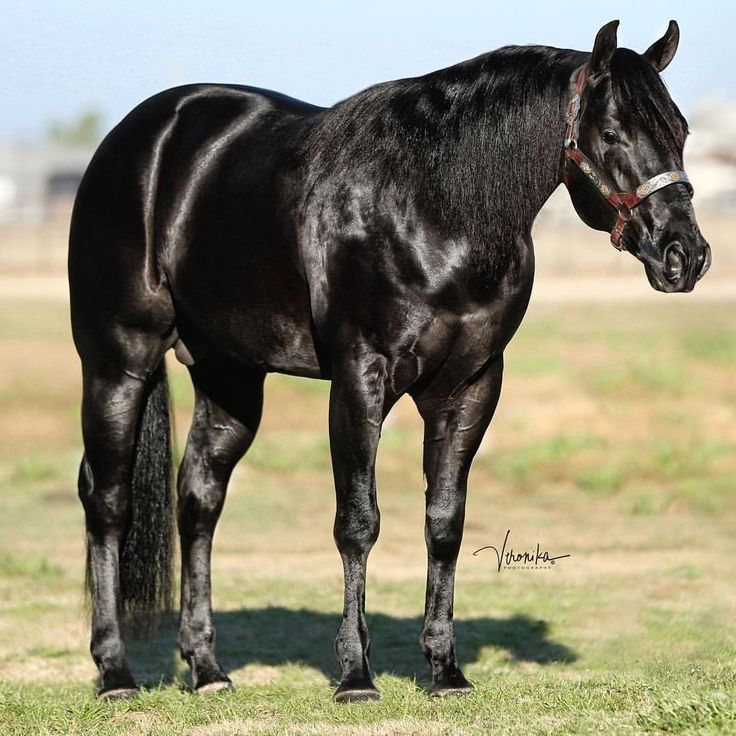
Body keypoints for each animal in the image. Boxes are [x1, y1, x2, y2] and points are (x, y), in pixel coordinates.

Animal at [72, 20, 712, 700]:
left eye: (680, 130)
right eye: (612, 133)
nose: (685, 255)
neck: (434, 208)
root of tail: (139, 137)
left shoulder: (471, 386)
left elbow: (445, 523)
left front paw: (446, 671)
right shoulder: (360, 377)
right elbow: (358, 521)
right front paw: (355, 675)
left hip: (231, 377)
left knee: (198, 498)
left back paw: (208, 670)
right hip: (118, 362)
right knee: (107, 500)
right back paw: (115, 673)